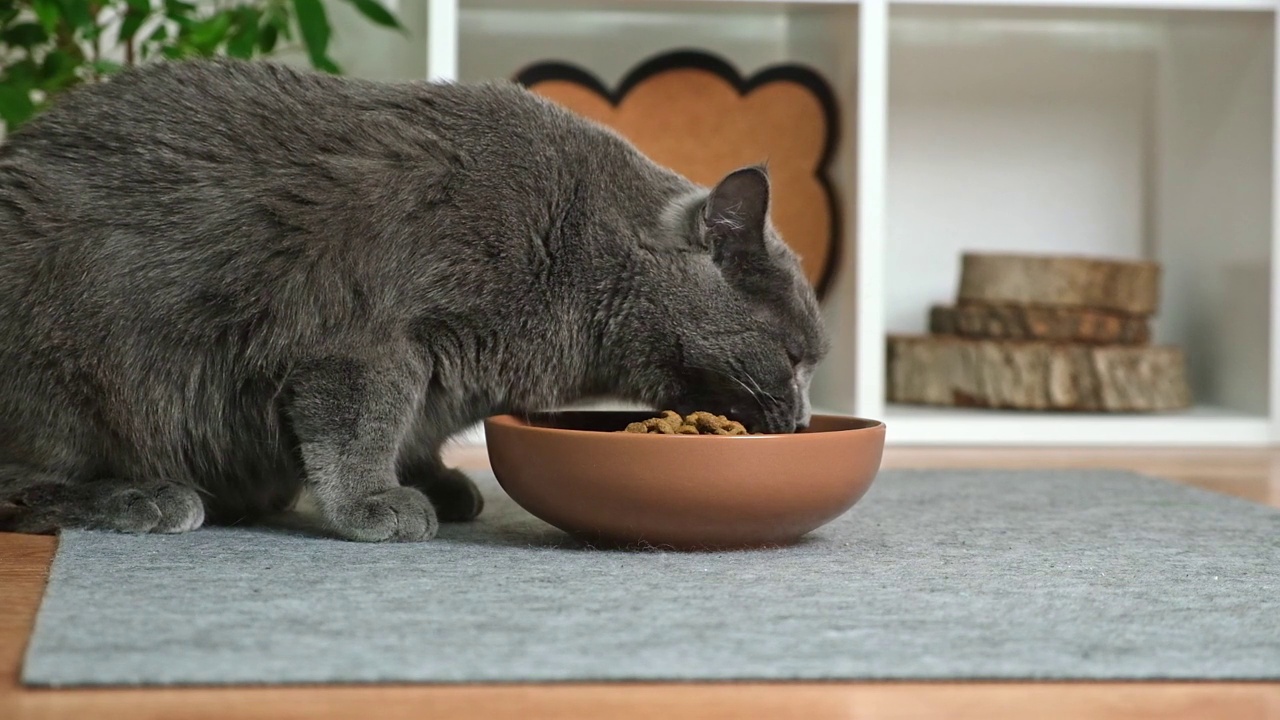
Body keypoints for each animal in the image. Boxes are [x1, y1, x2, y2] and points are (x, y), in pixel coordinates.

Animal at [0, 57, 829, 538]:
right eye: (795, 357)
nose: (801, 422)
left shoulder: (449, 369)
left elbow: (416, 426)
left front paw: (433, 479)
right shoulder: (364, 338)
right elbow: (361, 421)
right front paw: (372, 501)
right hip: (68, 370)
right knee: (19, 487)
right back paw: (142, 499)